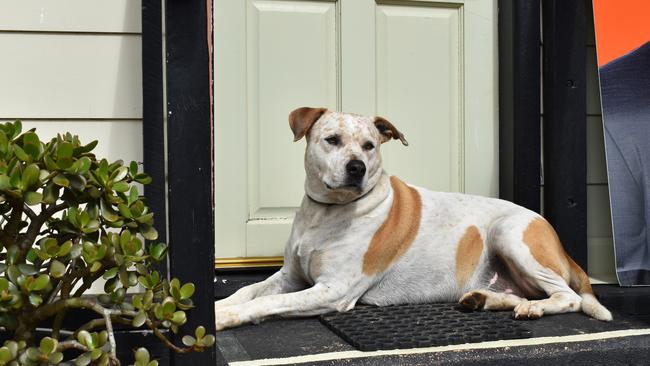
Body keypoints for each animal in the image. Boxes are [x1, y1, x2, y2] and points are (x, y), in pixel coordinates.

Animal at [214, 107, 612, 330]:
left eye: (370, 145)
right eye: (332, 139)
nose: (357, 168)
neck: (325, 212)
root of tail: (555, 237)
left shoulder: (333, 291)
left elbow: (264, 303)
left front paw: (225, 319)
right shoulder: (290, 277)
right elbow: (246, 291)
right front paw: (217, 307)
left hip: (509, 233)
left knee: (568, 297)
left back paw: (534, 308)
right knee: (519, 293)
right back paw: (484, 300)